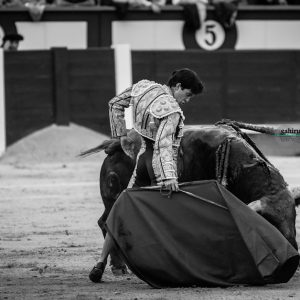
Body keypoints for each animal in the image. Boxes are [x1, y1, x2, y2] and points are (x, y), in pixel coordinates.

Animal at [80, 120, 300, 276]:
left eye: (294, 216)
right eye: (268, 220)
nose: (293, 250)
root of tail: (116, 143)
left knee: (105, 221)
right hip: (115, 195)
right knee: (108, 221)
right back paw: (116, 267)